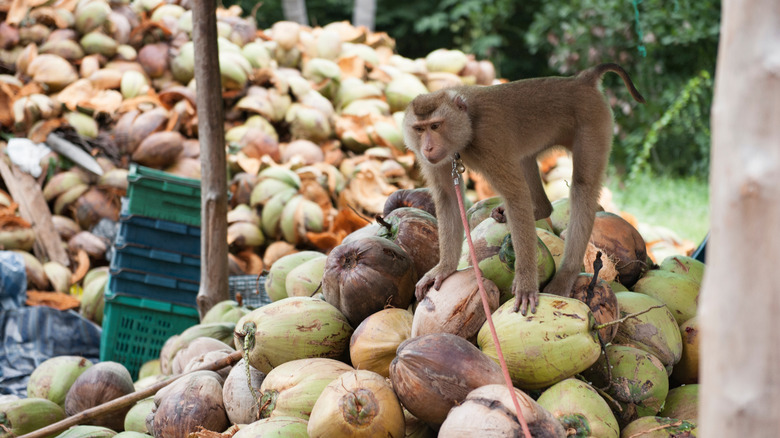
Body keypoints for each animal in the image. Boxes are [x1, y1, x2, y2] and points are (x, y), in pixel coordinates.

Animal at [402, 62, 644, 314]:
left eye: (435, 126)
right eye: (419, 129)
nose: (428, 148)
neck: (468, 126)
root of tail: (581, 80)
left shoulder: (488, 140)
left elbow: (515, 195)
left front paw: (526, 283)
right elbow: (448, 197)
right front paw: (444, 268)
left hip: (593, 121)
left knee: (582, 187)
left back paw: (566, 274)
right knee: (525, 159)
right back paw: (540, 210)